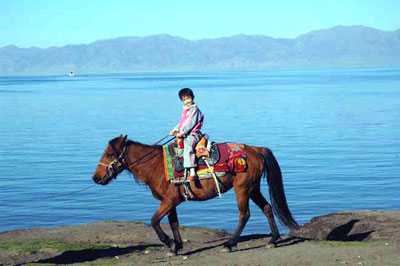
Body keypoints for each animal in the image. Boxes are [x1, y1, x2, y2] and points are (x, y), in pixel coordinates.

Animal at [92, 135, 298, 256]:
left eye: (109, 154)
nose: (96, 178)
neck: (155, 165)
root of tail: (255, 149)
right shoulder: (170, 202)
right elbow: (173, 223)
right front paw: (176, 247)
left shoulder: (169, 201)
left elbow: (154, 221)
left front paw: (169, 243)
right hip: (253, 188)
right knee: (267, 208)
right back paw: (273, 240)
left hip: (242, 189)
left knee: (244, 215)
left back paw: (230, 244)